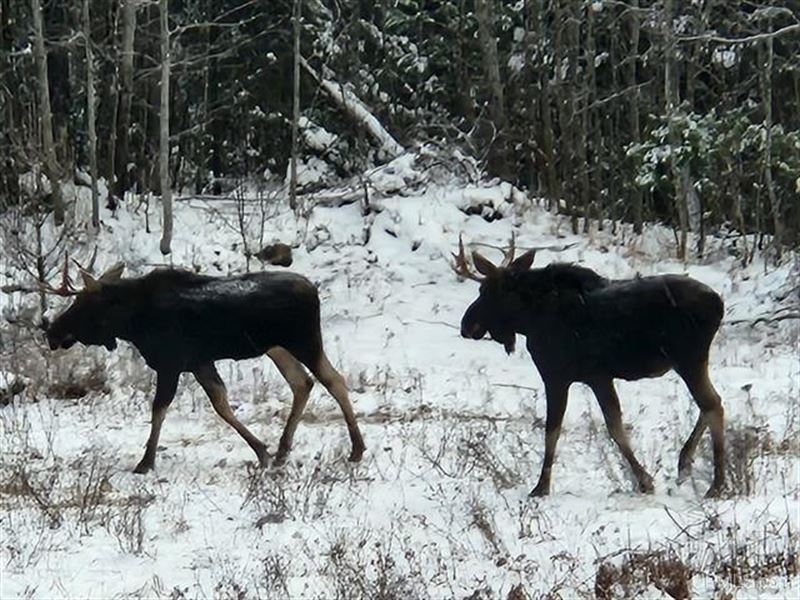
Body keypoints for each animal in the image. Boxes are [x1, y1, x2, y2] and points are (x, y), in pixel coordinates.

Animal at [45, 262, 364, 474]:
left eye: (81, 303)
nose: (52, 332)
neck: (131, 323)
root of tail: (314, 290)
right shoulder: (199, 362)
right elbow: (221, 404)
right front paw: (262, 451)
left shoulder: (171, 363)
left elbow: (159, 409)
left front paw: (145, 462)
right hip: (277, 348)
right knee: (302, 382)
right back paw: (283, 450)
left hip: (304, 342)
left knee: (333, 380)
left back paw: (356, 449)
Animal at [456, 237, 724, 500]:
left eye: (485, 291)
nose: (467, 325)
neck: (528, 320)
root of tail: (719, 304)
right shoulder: (597, 378)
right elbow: (615, 426)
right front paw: (645, 481)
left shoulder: (557, 376)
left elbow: (554, 431)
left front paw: (541, 487)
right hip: (691, 362)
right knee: (712, 402)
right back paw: (685, 464)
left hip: (689, 360)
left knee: (712, 405)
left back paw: (716, 485)